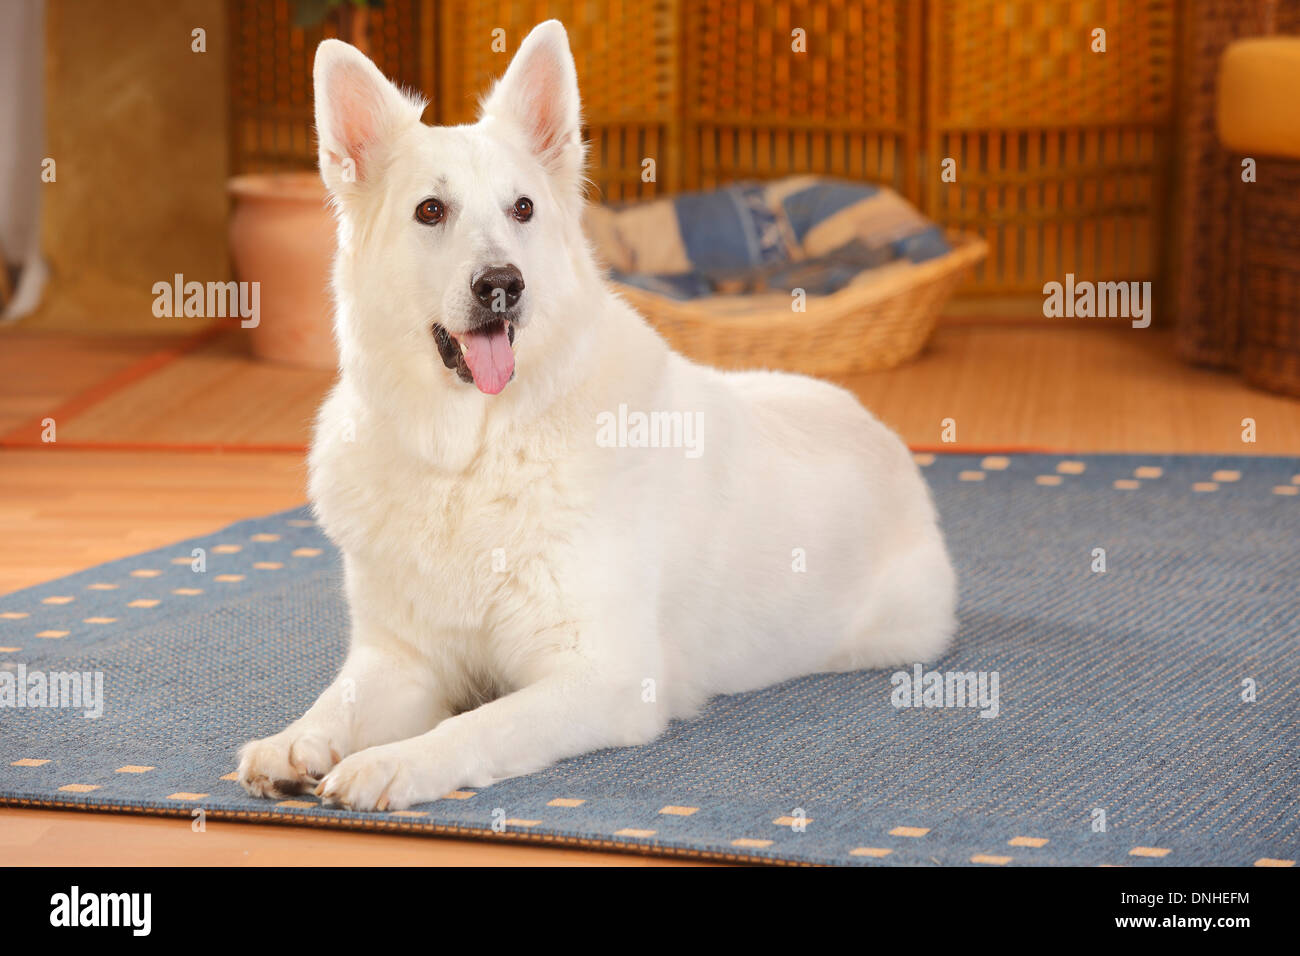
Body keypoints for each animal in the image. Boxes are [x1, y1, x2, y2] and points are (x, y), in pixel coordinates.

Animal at [239, 18, 961, 811]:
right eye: (431, 211)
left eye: (522, 209)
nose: (502, 284)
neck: (472, 454)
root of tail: (880, 431)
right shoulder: (402, 660)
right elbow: (334, 702)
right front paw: (291, 743)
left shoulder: (603, 679)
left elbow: (473, 725)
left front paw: (391, 763)